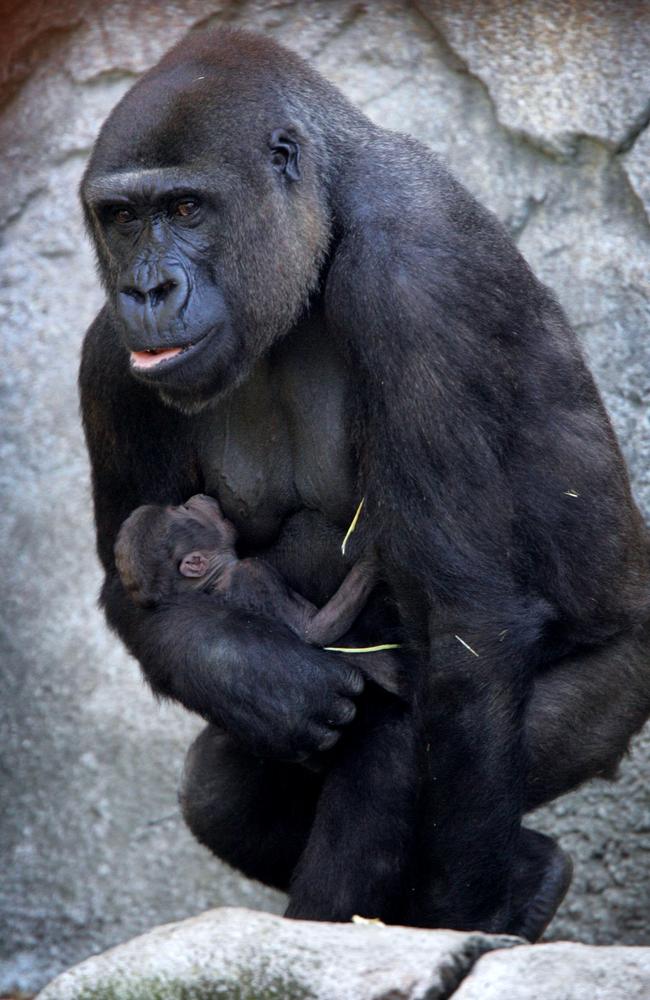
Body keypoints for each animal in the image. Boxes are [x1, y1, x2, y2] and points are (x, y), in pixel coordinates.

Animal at [114, 494, 412, 920]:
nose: (198, 500)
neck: (214, 580)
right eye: (184, 514)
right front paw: (371, 558)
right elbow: (315, 631)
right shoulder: (255, 574)